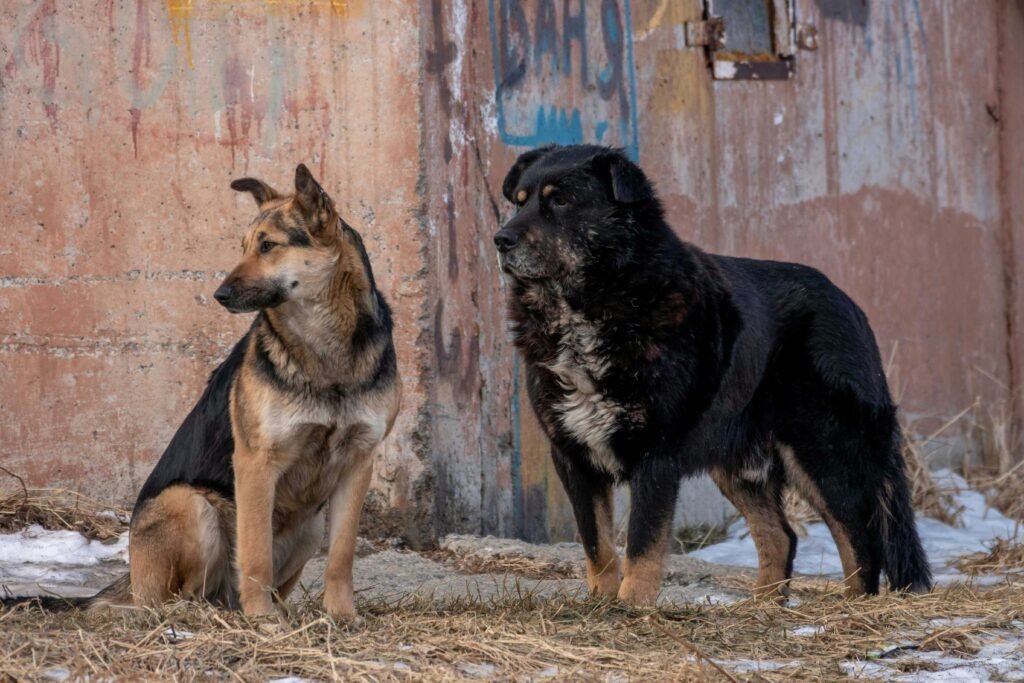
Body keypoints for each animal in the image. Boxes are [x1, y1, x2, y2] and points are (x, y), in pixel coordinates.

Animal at [14, 165, 403, 618]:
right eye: (244, 247)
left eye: (268, 245)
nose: (220, 295)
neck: (326, 346)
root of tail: (131, 581)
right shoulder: (256, 463)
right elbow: (255, 553)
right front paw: (262, 619)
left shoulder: (358, 463)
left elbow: (341, 556)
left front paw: (341, 616)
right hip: (191, 505)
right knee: (180, 596)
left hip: (309, 526)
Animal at [491, 144, 933, 602]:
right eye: (519, 202)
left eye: (560, 201)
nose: (501, 240)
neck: (594, 303)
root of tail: (851, 305)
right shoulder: (574, 456)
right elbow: (598, 546)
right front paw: (601, 603)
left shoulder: (656, 455)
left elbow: (642, 545)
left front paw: (632, 605)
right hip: (739, 461)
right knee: (782, 536)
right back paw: (762, 606)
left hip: (822, 450)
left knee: (860, 538)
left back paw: (852, 605)